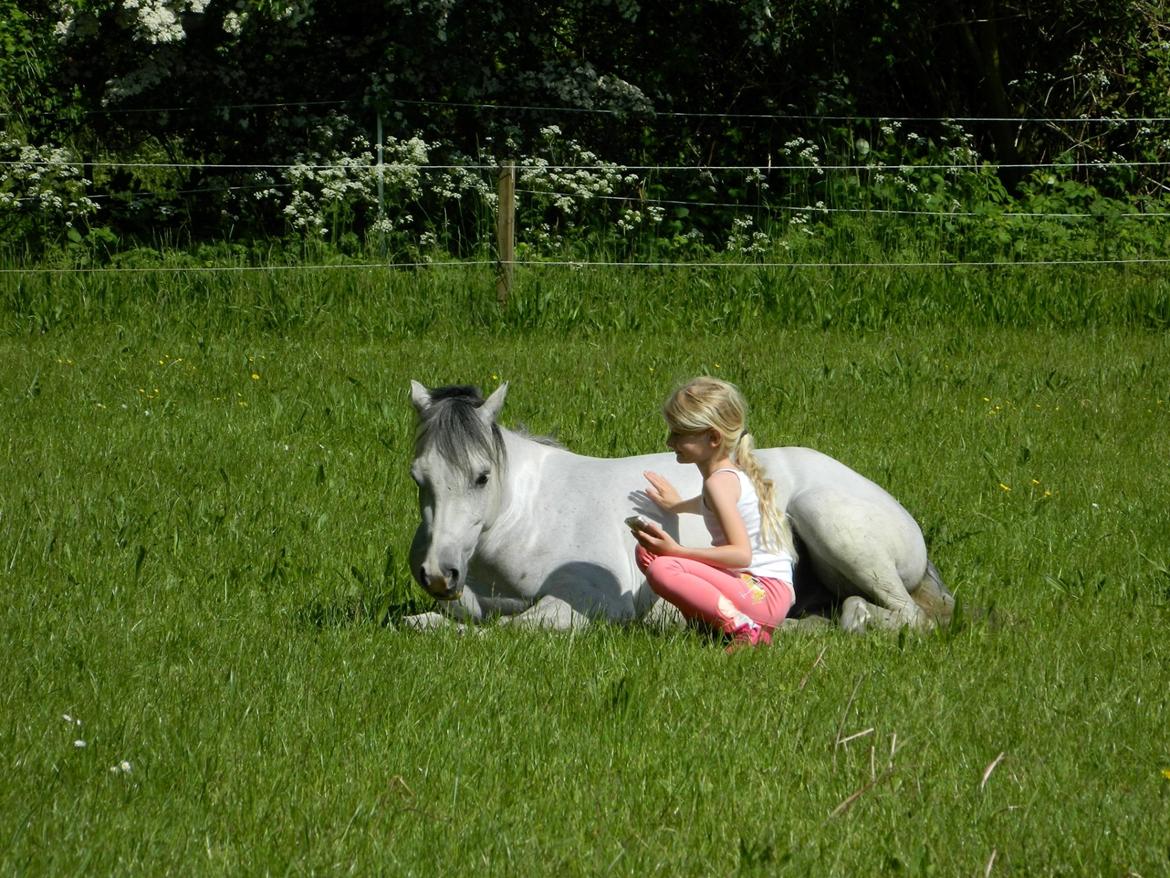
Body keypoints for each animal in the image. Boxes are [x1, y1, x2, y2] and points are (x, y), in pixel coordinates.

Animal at [406, 381, 955, 633]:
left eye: (481, 476)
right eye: (418, 477)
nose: (436, 573)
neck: (527, 517)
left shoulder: (588, 605)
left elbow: (515, 628)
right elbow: (430, 620)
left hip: (831, 521)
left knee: (902, 614)